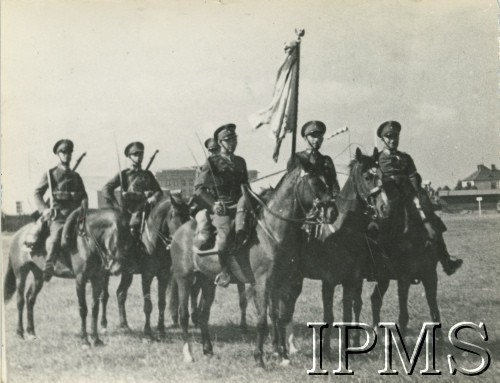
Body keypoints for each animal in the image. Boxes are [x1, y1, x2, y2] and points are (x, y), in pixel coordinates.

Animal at [3, 210, 139, 348]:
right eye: (121, 238)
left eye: (132, 240)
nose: (118, 269)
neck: (87, 242)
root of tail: (17, 235)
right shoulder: (80, 280)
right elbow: (83, 308)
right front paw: (84, 340)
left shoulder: (98, 279)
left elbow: (95, 308)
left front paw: (96, 339)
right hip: (21, 274)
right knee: (20, 300)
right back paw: (19, 333)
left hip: (38, 275)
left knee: (30, 298)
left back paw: (31, 333)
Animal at [100, 195, 190, 340]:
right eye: (174, 214)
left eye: (188, 214)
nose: (183, 237)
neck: (153, 242)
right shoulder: (147, 276)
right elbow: (148, 305)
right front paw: (147, 332)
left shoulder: (163, 275)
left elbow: (161, 303)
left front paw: (161, 331)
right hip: (105, 273)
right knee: (104, 296)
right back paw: (103, 325)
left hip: (127, 274)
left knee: (120, 294)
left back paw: (124, 324)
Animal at [170, 166, 334, 368]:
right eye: (315, 182)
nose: (333, 211)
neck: (271, 232)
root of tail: (179, 232)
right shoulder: (262, 284)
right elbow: (262, 321)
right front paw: (259, 358)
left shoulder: (281, 283)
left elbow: (280, 317)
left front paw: (284, 356)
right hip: (184, 279)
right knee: (184, 315)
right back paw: (188, 355)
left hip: (207, 282)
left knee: (203, 314)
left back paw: (208, 350)